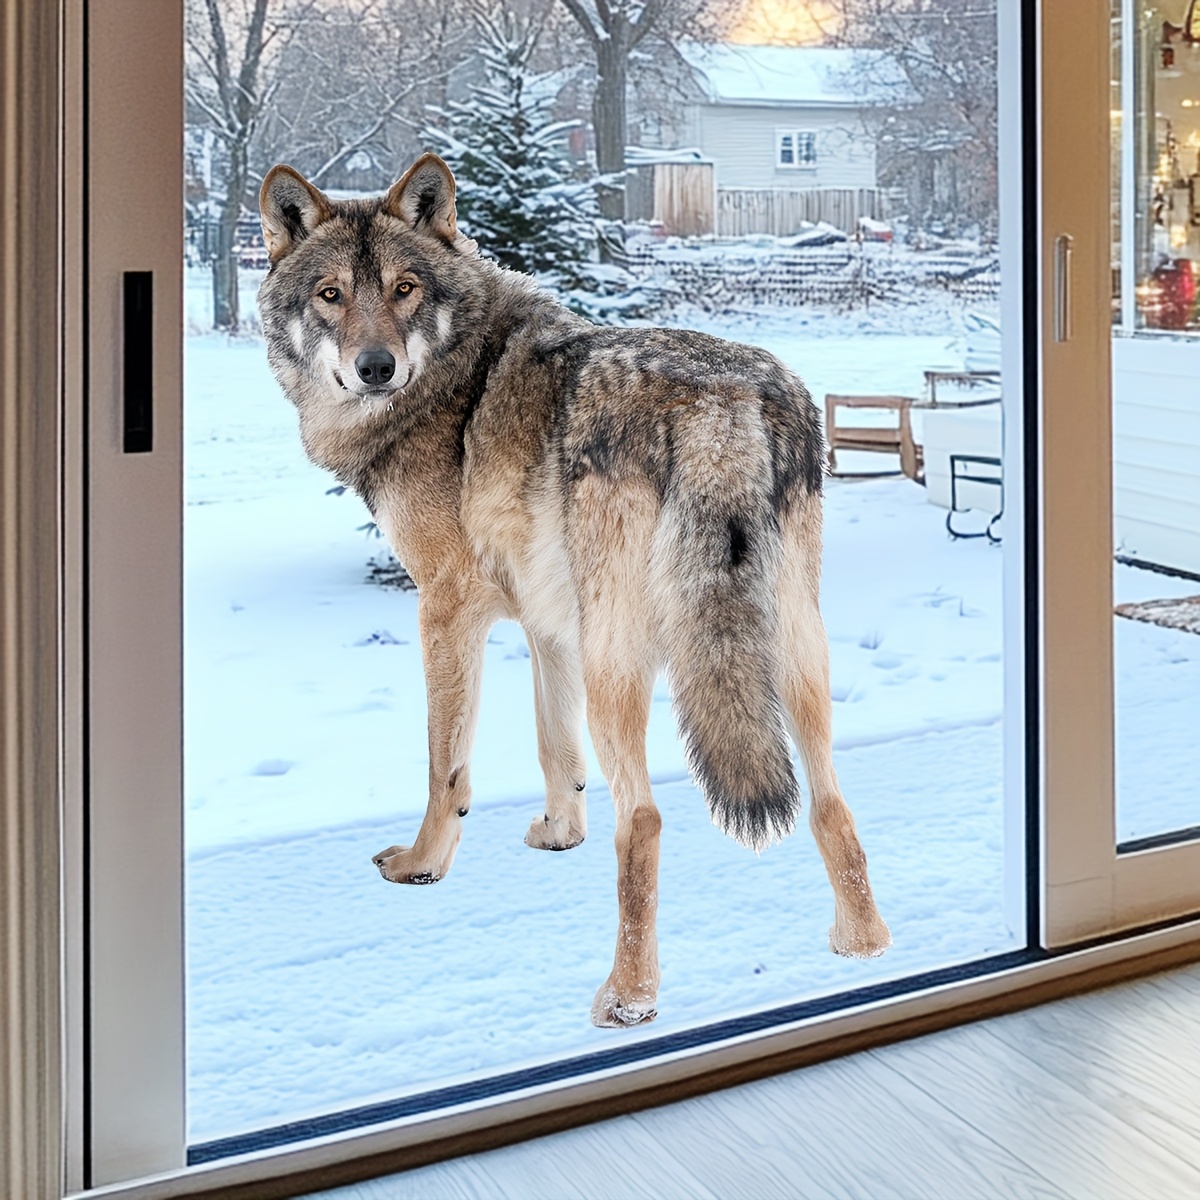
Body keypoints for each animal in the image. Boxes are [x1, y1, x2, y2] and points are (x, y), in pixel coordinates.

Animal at [258, 154, 891, 1027]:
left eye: (404, 288)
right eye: (330, 295)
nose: (375, 367)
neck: (449, 381)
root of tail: (720, 402)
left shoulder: (445, 609)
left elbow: (445, 768)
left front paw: (422, 865)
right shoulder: (545, 625)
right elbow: (554, 746)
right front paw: (560, 832)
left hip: (617, 661)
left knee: (647, 817)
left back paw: (627, 997)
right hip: (787, 649)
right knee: (830, 801)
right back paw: (862, 948)